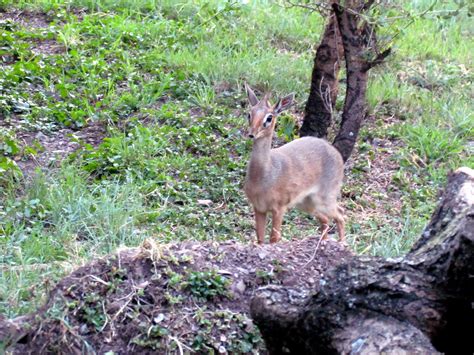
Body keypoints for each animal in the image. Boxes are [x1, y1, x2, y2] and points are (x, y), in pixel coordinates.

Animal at [244, 84, 344, 245]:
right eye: (249, 114)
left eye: (269, 117)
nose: (252, 133)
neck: (264, 175)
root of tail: (335, 152)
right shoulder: (259, 208)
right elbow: (260, 239)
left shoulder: (279, 208)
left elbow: (274, 239)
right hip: (307, 203)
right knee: (325, 220)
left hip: (325, 198)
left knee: (340, 214)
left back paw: (342, 244)